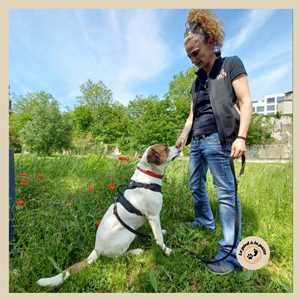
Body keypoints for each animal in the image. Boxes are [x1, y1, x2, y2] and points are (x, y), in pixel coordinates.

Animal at [36, 144, 179, 288]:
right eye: (165, 149)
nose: (179, 146)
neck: (147, 178)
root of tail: (96, 249)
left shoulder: (152, 218)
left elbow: (157, 233)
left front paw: (161, 234)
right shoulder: (154, 216)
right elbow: (159, 238)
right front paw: (166, 250)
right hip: (128, 234)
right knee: (118, 257)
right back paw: (135, 252)